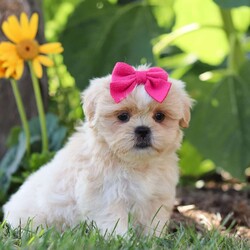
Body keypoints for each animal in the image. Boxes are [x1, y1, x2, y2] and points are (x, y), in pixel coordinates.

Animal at [2, 62, 192, 234]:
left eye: (159, 116)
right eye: (123, 116)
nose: (143, 130)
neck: (136, 164)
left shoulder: (157, 197)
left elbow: (154, 224)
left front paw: (153, 240)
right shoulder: (106, 197)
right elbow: (115, 224)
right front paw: (121, 241)